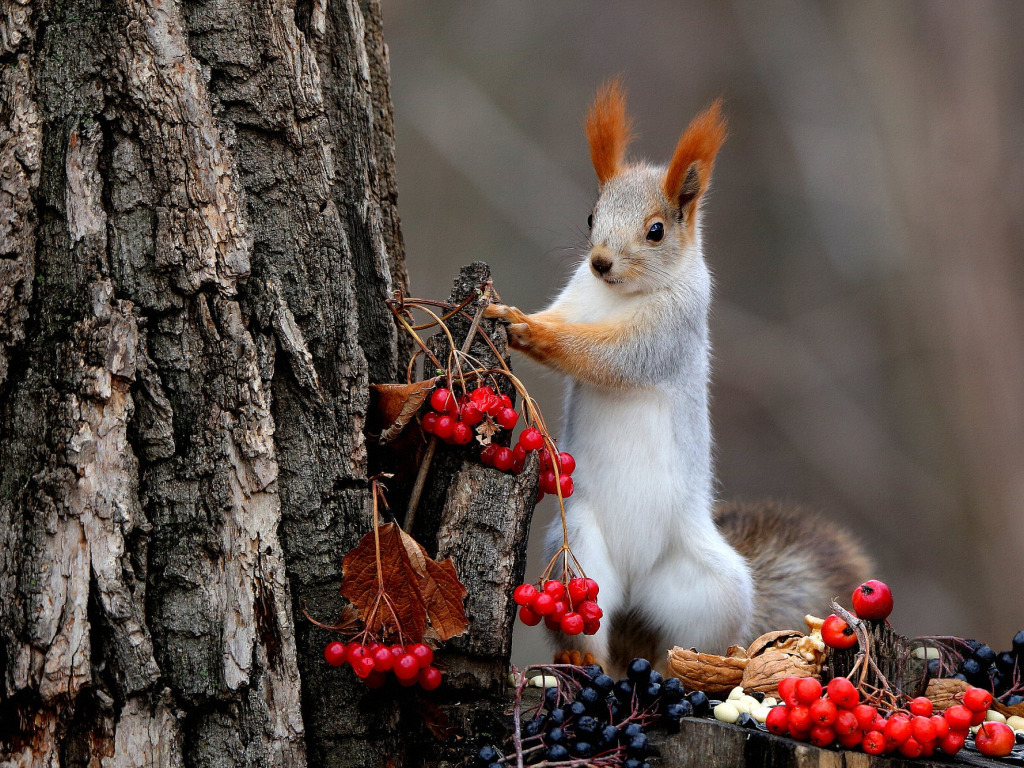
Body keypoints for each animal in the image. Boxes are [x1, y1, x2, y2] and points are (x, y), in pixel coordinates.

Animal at [483, 81, 868, 675]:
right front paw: (517, 317)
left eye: (656, 231)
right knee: (594, 636)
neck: (617, 296)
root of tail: (635, 590)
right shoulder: (575, 298)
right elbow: (566, 321)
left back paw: (697, 666)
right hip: (578, 560)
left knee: (690, 645)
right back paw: (583, 658)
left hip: (712, 590)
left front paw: (528, 330)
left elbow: (610, 357)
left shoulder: (670, 332)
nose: (599, 262)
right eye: (591, 216)